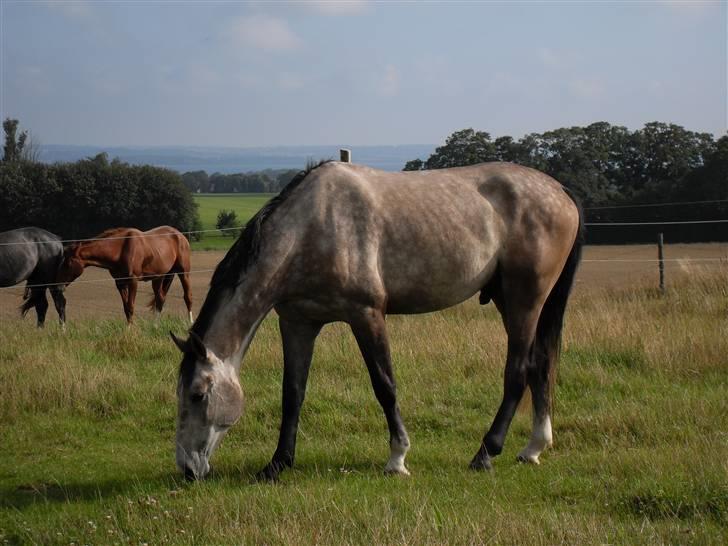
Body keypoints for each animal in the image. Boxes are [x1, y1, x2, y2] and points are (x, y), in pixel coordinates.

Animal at [59, 223, 193, 320]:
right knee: (160, 299)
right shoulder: (120, 283)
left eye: (68, 263)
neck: (120, 249)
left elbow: (131, 306)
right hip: (159, 277)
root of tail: (180, 235)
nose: (59, 286)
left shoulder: (133, 281)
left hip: (184, 273)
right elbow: (126, 309)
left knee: (188, 297)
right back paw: (156, 325)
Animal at [172, 160, 584, 480]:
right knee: (540, 365)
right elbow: (292, 393)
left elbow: (385, 385)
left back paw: (486, 453)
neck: (310, 226)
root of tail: (561, 191)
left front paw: (397, 459)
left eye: (197, 394)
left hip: (524, 301)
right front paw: (277, 465)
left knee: (518, 371)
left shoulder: (367, 314)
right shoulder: (298, 322)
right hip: (513, 301)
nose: (188, 469)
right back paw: (532, 448)